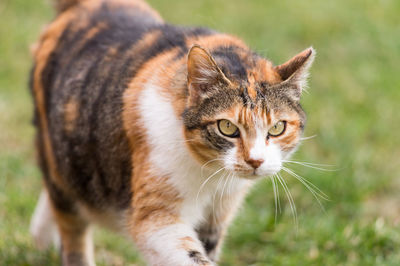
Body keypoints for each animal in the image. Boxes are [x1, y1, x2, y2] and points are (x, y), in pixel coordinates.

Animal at [28, 0, 316, 264]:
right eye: (227, 127)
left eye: (277, 128)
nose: (255, 161)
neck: (212, 175)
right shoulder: (155, 217)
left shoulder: (218, 214)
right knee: (70, 219)